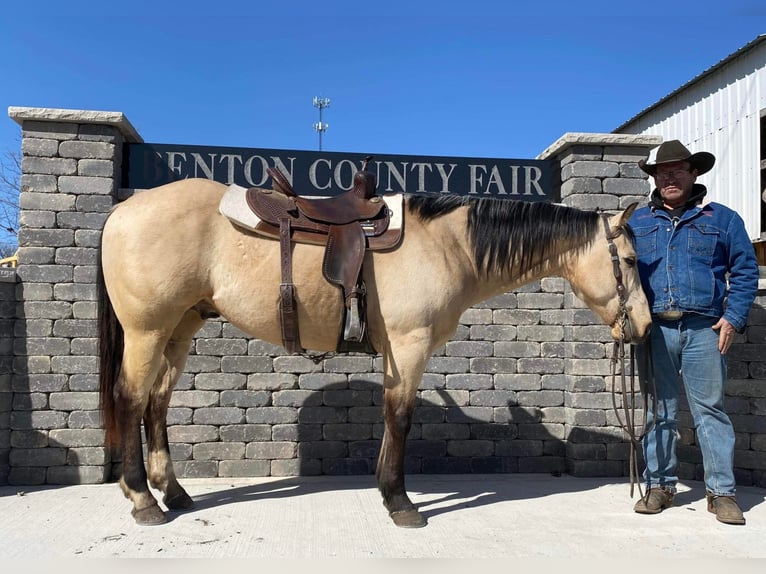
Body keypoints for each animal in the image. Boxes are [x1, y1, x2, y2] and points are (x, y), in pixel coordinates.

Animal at [94, 174, 648, 532]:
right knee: (130, 398)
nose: (642, 325)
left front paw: (387, 492)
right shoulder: (409, 345)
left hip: (179, 329)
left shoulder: (396, 352)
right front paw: (400, 501)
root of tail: (123, 209)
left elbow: (389, 416)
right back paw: (143, 499)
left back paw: (173, 492)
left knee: (157, 404)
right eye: (628, 259)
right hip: (147, 329)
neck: (448, 244)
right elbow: (400, 418)